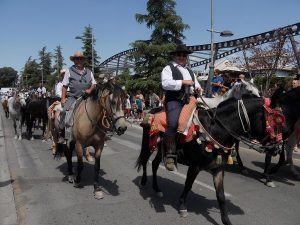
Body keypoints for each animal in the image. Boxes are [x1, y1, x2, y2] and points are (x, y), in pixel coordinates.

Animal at [136, 84, 282, 225]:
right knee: (145, 161)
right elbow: (188, 185)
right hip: (149, 145)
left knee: (155, 164)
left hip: (161, 149)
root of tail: (152, 110)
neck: (215, 128)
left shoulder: (218, 169)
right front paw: (182, 207)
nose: (277, 149)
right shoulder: (194, 166)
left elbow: (221, 195)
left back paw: (157, 189)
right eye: (273, 122)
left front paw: (226, 220)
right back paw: (143, 182)